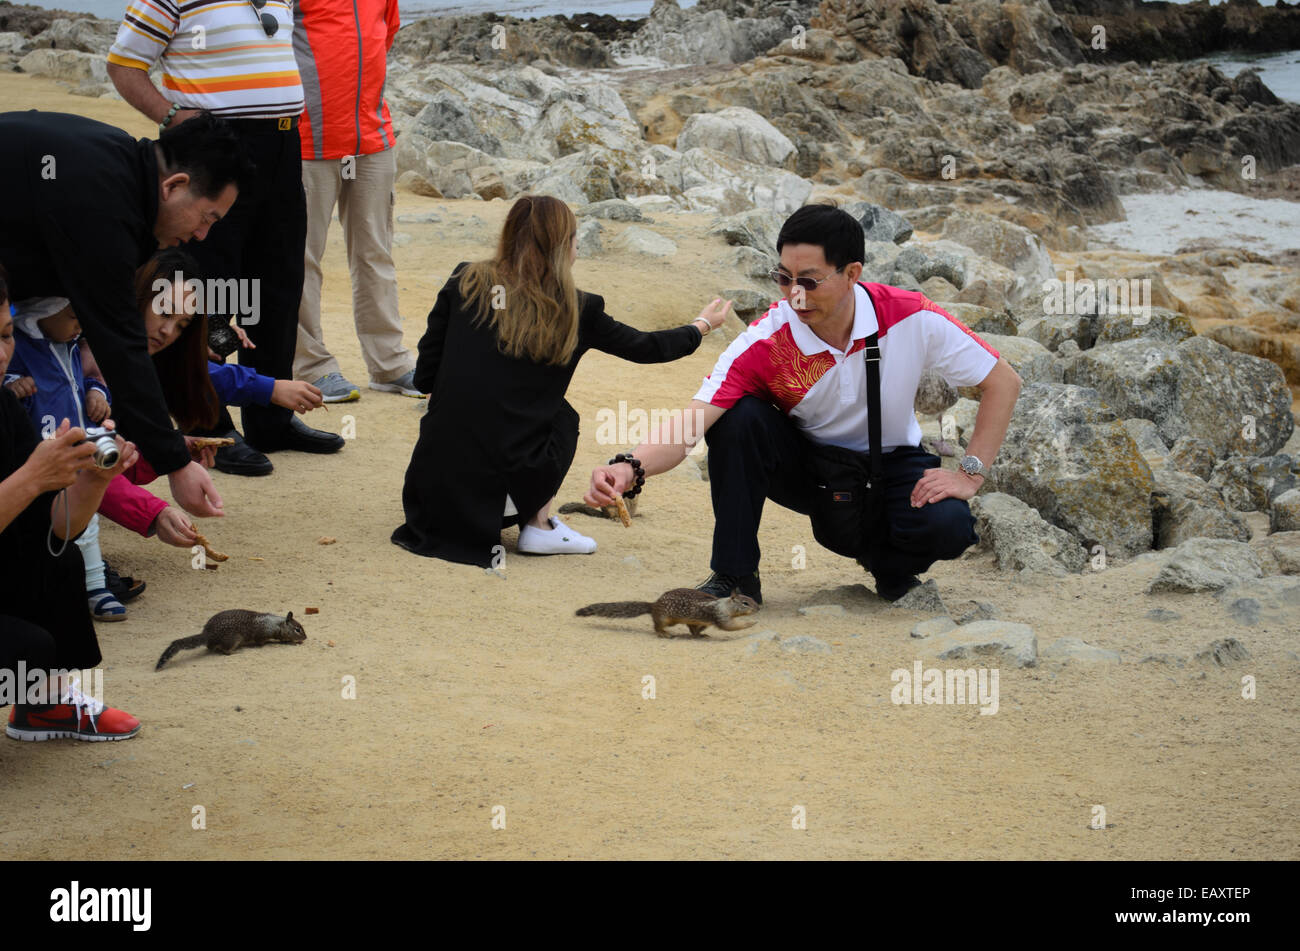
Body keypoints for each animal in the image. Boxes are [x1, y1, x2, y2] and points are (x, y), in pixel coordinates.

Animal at [155, 610, 307, 670]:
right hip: (234, 639)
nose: (305, 638)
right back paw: (236, 652)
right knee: (225, 651)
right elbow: (262, 642)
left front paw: (289, 642)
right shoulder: (262, 635)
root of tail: (207, 634)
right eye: (297, 629)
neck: (276, 624)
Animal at [576, 588, 759, 638]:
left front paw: (700, 634)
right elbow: (731, 626)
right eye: (745, 603)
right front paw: (752, 622)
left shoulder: (703, 620)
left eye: (752, 598)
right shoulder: (721, 617)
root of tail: (653, 605)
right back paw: (664, 633)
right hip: (666, 619)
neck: (725, 605)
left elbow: (696, 628)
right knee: (656, 626)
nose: (758, 608)